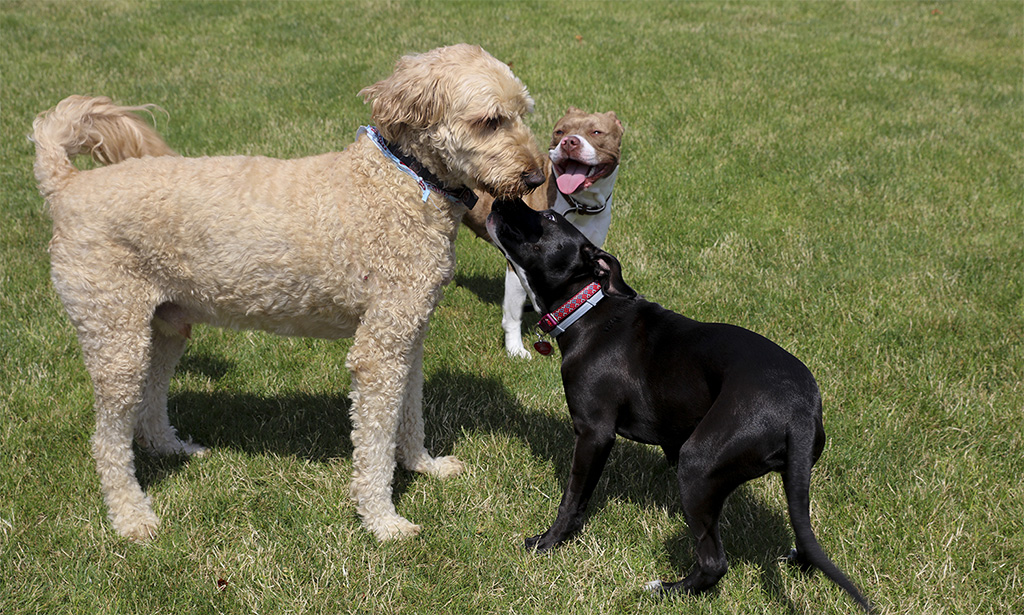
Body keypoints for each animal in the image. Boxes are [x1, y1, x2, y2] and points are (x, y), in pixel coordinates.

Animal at [29, 44, 544, 540]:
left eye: (523, 112)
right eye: (489, 121)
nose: (538, 177)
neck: (403, 181)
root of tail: (67, 185)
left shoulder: (408, 333)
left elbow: (410, 411)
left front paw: (423, 465)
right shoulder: (379, 351)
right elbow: (374, 441)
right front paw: (382, 520)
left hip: (165, 325)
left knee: (151, 398)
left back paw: (171, 446)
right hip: (114, 333)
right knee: (107, 441)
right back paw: (131, 517)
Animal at [466, 104, 622, 354]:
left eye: (596, 132)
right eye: (559, 131)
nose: (569, 141)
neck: (578, 204)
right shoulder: (516, 263)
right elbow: (513, 313)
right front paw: (515, 349)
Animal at [487, 199, 872, 609]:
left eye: (549, 218)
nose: (501, 199)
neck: (586, 309)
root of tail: (800, 411)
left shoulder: (594, 433)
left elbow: (573, 499)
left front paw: (549, 542)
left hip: (697, 465)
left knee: (714, 562)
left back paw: (667, 590)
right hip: (790, 477)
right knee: (803, 533)